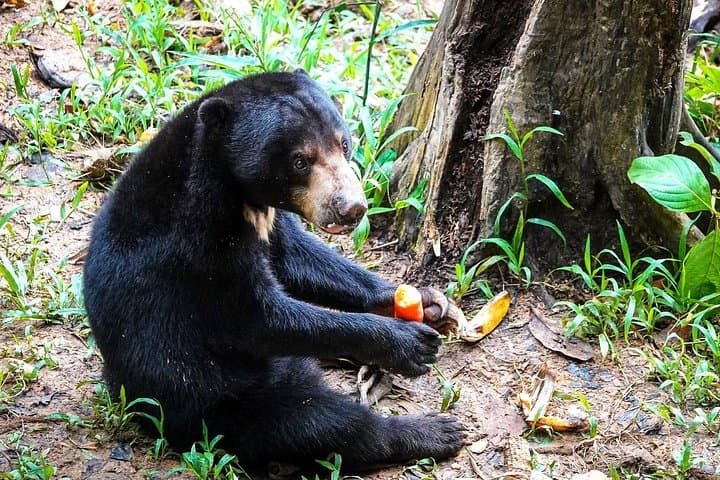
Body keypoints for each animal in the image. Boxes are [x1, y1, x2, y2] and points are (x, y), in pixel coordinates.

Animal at [83, 70, 465, 472]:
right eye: (299, 161)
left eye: (343, 144)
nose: (352, 208)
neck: (235, 190)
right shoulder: (198, 245)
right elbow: (258, 318)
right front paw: (409, 342)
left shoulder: (266, 223)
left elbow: (299, 258)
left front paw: (429, 303)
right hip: (215, 399)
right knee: (316, 421)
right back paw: (432, 431)